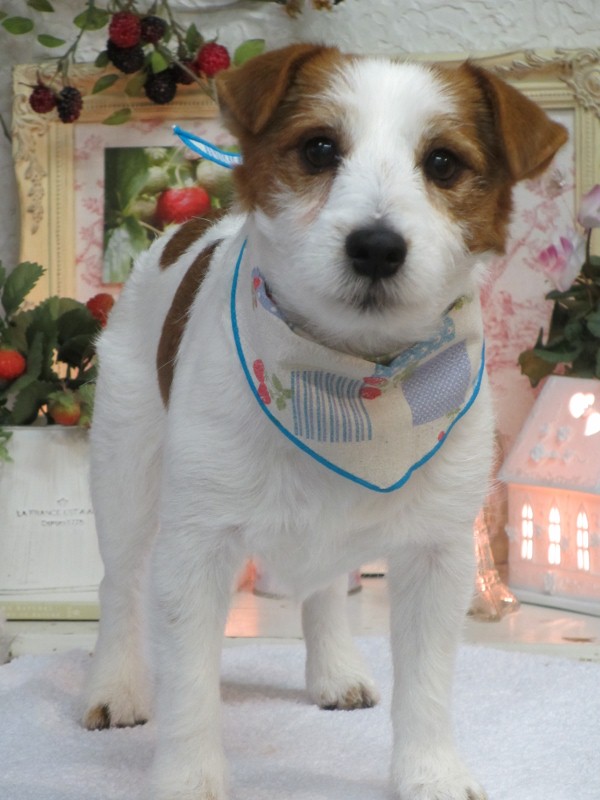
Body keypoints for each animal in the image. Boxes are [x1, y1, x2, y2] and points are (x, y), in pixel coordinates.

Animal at [83, 45, 567, 800]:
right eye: (317, 148)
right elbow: (189, 684)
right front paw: (188, 777)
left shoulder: (438, 553)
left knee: (326, 590)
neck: (353, 384)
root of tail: (182, 231)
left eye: (443, 163)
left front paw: (430, 771)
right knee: (120, 582)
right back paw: (115, 684)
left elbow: (427, 683)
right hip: (126, 469)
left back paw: (335, 667)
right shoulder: (195, 545)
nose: (376, 246)